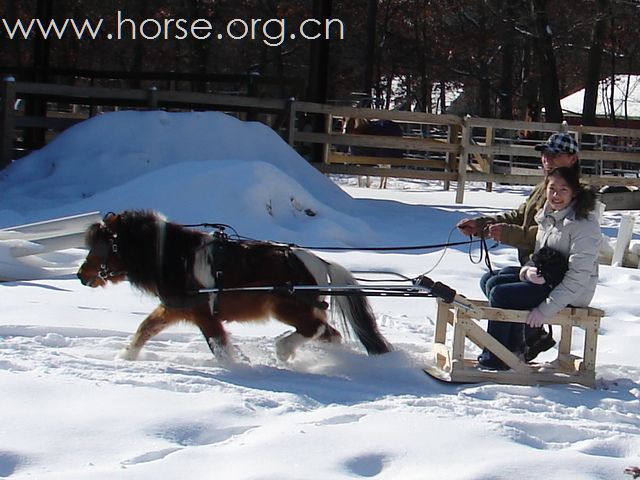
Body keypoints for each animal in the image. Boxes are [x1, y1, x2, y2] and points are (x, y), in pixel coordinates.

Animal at [78, 211, 392, 364]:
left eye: (103, 244)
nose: (81, 275)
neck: (178, 258)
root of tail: (320, 262)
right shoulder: (174, 308)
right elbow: (145, 329)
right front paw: (126, 356)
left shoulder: (203, 315)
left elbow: (218, 345)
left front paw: (236, 366)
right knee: (328, 333)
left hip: (289, 308)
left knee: (314, 329)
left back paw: (283, 350)